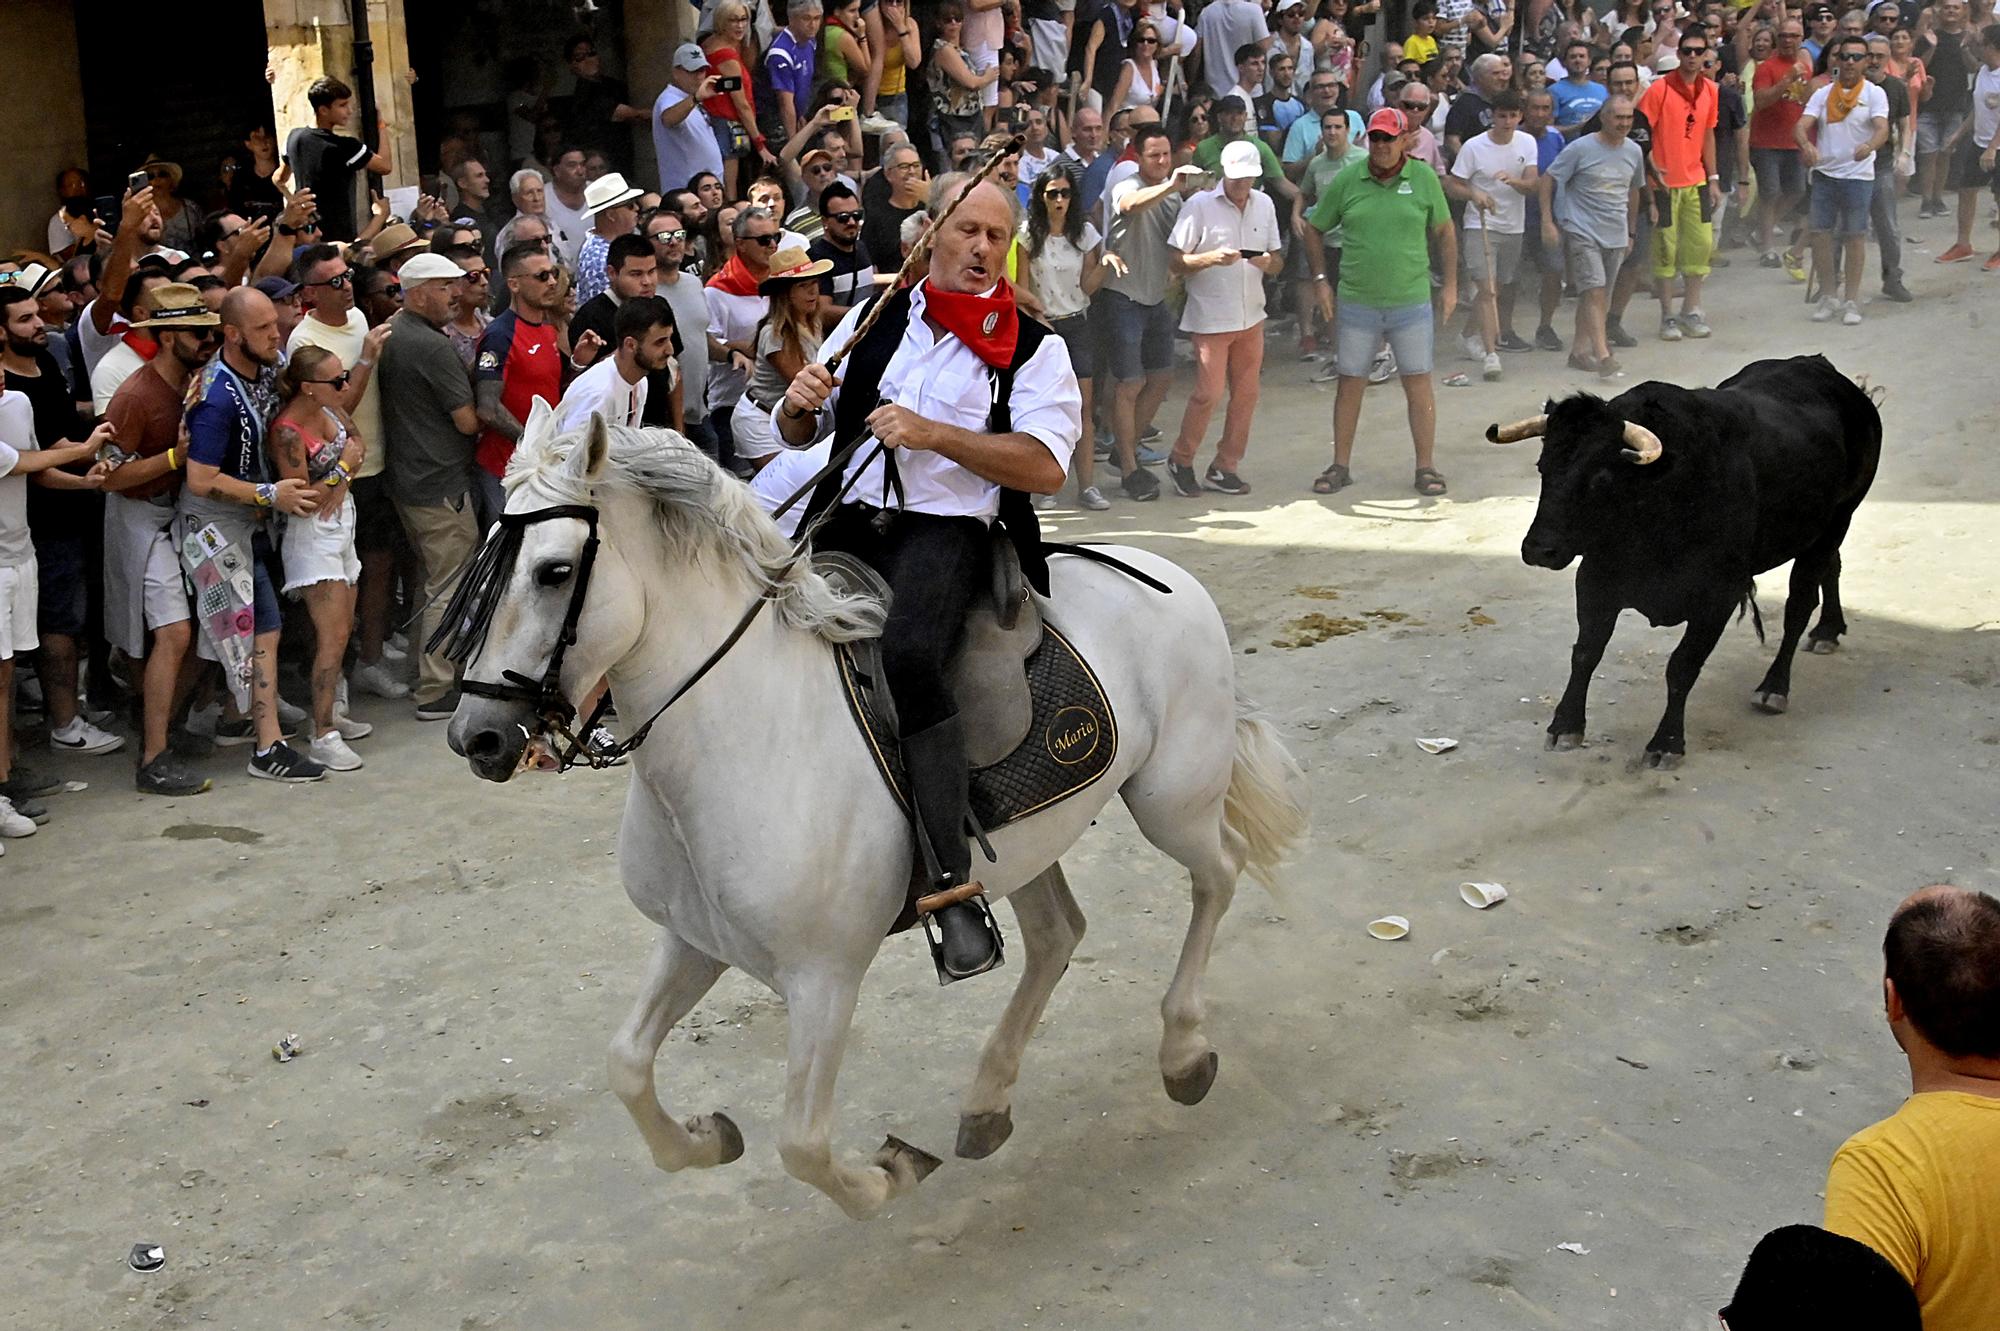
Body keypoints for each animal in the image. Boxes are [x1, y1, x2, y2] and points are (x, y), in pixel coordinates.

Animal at [446, 409, 1304, 1215]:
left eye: (555, 571)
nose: (476, 736)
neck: (742, 736)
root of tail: (1165, 571)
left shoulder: (824, 978)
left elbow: (802, 1143)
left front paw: (890, 1171)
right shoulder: (693, 939)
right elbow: (626, 1066)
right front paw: (707, 1136)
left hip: (1171, 800)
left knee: (1218, 874)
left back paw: (1183, 1049)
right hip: (1035, 839)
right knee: (1059, 935)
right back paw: (988, 1100)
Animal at [1496, 355, 1880, 767]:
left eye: (1601, 478)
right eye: (1543, 467)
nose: (1539, 549)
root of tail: (1821, 367)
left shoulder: (1719, 596)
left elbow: (1682, 667)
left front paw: (1666, 743)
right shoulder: (1596, 579)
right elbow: (1586, 652)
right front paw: (1565, 726)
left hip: (1839, 518)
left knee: (1799, 606)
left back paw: (1774, 687)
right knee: (1831, 567)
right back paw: (1827, 630)